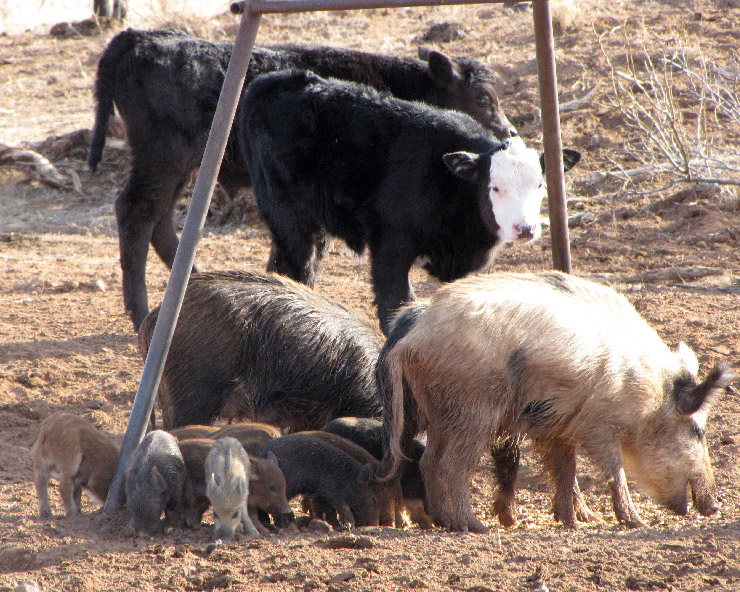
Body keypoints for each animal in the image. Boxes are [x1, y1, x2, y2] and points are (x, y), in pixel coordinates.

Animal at [382, 270, 736, 536]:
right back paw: (473, 526)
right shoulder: (598, 425)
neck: (648, 393)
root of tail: (412, 340)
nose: (715, 506)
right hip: (473, 410)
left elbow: (566, 470)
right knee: (450, 466)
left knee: (428, 461)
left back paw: (446, 522)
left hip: (439, 411)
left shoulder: (560, 424)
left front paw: (575, 522)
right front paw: (635, 523)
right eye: (698, 431)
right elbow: (614, 470)